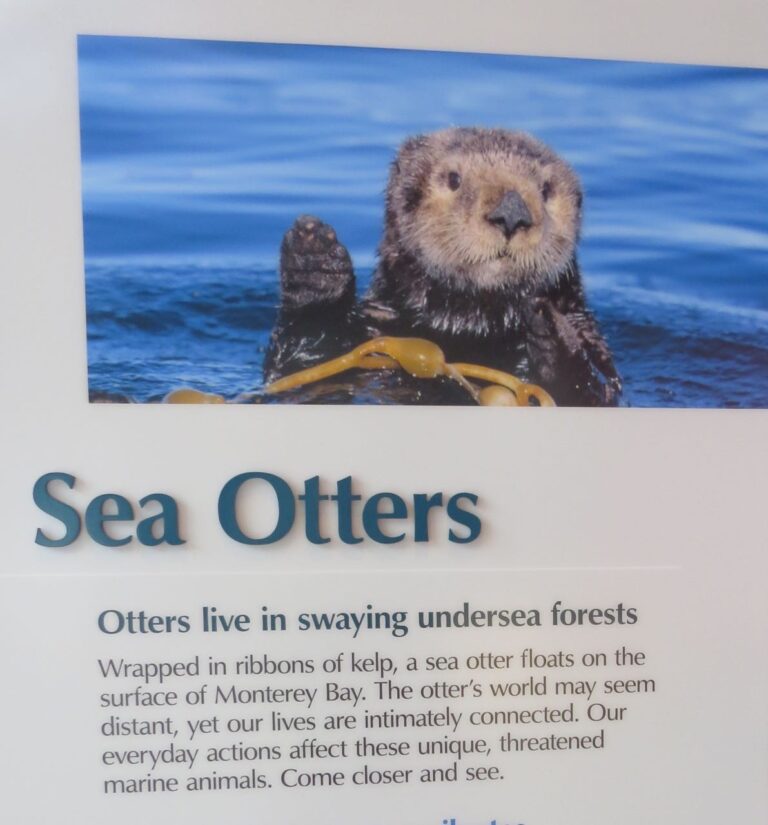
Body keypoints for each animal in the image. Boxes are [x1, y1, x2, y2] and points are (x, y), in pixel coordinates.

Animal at [264, 127, 621, 406]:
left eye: (546, 190)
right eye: (453, 179)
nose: (511, 213)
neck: (470, 323)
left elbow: (597, 390)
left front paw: (552, 327)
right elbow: (304, 367)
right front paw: (315, 263)